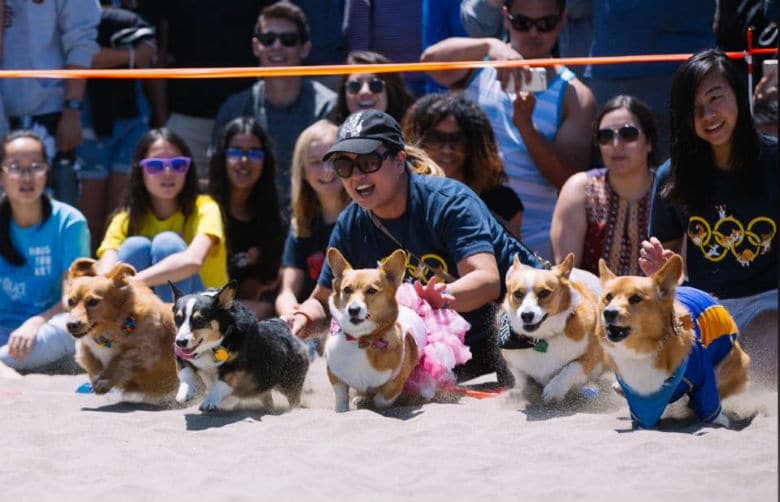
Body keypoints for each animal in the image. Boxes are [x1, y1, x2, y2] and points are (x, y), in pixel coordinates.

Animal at [64, 258, 180, 404]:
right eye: (70, 301)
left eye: (93, 302)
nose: (71, 325)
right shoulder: (85, 346)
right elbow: (90, 360)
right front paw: (97, 377)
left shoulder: (145, 350)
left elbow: (120, 360)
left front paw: (104, 381)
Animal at [172, 282, 310, 412]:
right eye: (178, 319)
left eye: (199, 320)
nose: (180, 342)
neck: (213, 346)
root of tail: (287, 328)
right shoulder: (182, 358)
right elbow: (186, 373)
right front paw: (184, 393)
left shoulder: (236, 368)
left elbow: (220, 384)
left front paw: (210, 401)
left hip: (290, 382)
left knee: (294, 400)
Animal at [326, 247, 424, 412]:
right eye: (347, 290)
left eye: (371, 290)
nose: (353, 310)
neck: (361, 339)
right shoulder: (335, 376)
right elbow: (341, 399)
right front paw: (343, 408)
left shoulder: (396, 382)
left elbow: (382, 399)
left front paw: (371, 402)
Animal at [500, 253, 604, 402]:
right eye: (518, 294)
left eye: (544, 293)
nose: (526, 315)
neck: (540, 339)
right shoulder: (512, 362)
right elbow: (521, 379)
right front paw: (519, 392)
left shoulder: (590, 358)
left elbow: (570, 369)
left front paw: (554, 390)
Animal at [596, 256, 748, 430]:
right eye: (608, 297)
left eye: (636, 298)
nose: (608, 313)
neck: (642, 351)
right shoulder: (637, 394)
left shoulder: (705, 378)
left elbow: (709, 403)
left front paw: (720, 421)